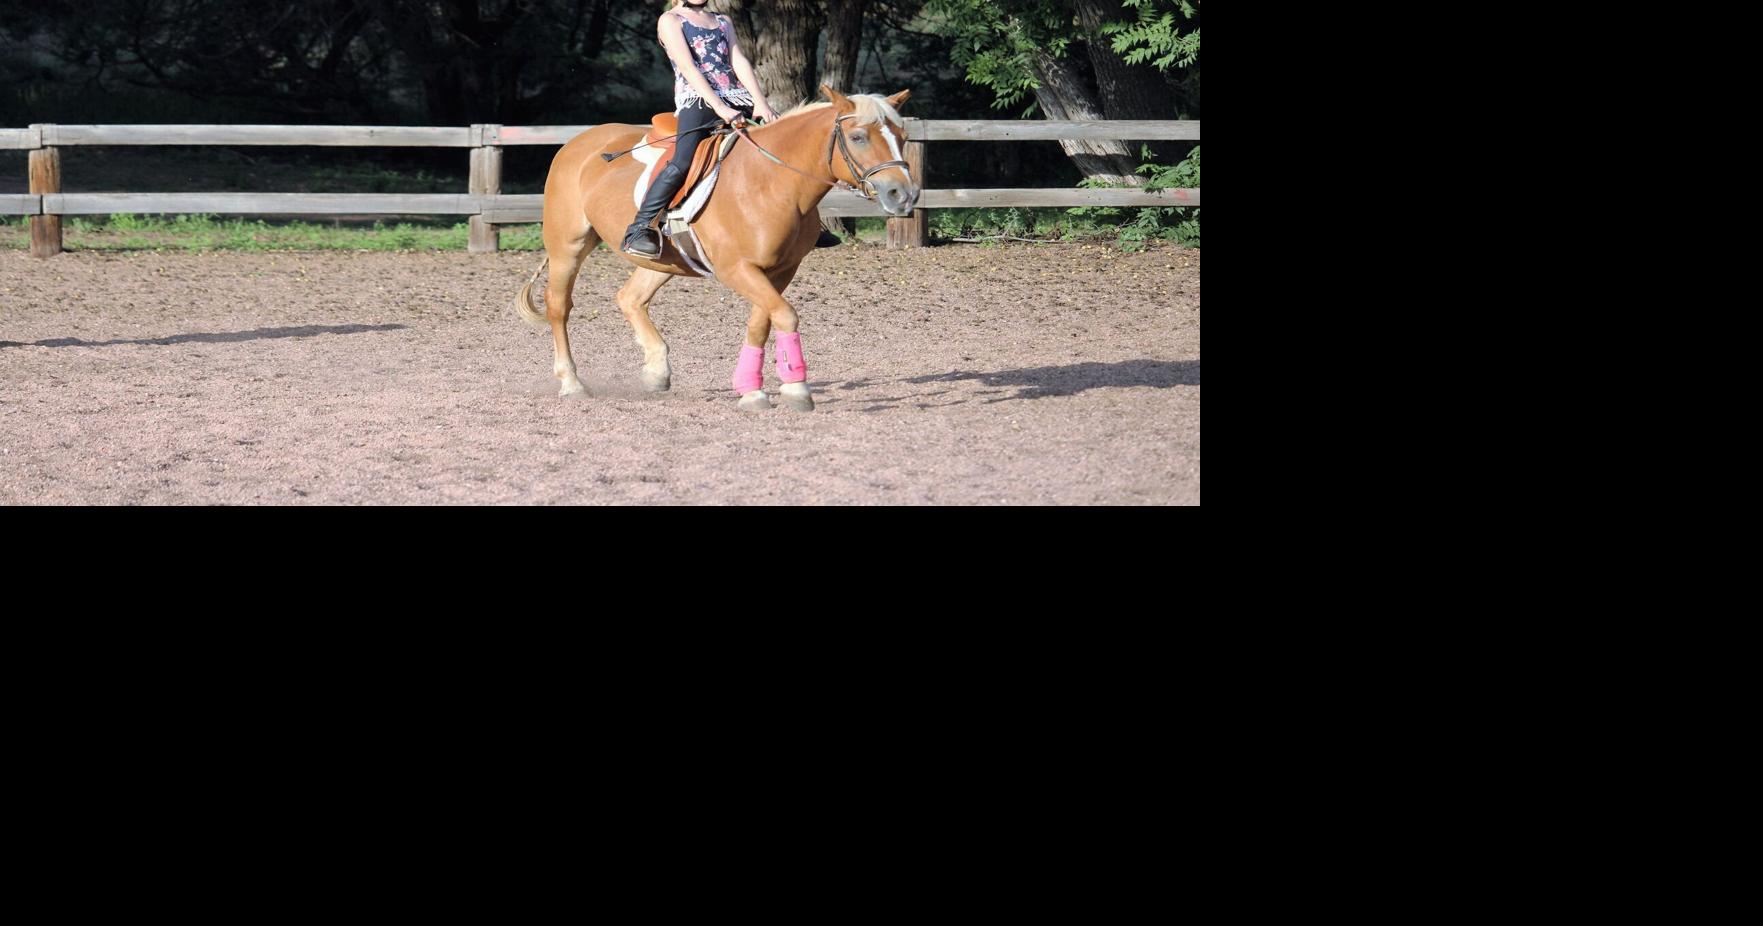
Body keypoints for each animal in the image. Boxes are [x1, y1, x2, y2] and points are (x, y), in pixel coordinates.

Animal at [513, 85, 918, 411]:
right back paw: (572, 382)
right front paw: (796, 389)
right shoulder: (736, 269)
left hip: (665, 260)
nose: (903, 194)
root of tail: (577, 143)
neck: (770, 181)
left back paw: (656, 371)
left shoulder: (780, 270)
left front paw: (752, 390)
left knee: (630, 297)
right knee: (559, 307)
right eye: (859, 136)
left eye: (902, 134)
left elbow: (761, 322)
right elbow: (785, 315)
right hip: (568, 247)